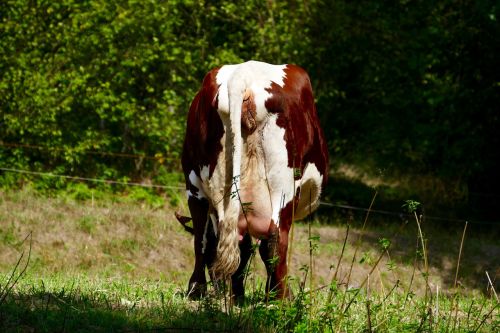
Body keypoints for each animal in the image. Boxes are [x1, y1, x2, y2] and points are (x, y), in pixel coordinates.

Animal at [176, 60, 328, 300]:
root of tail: (242, 76)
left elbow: (238, 247)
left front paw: (237, 292)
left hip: (195, 183)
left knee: (203, 235)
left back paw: (199, 289)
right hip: (282, 187)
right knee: (275, 240)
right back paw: (281, 297)